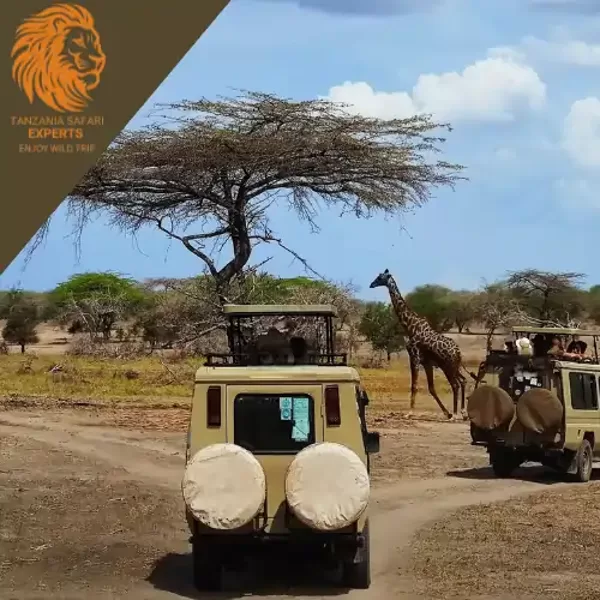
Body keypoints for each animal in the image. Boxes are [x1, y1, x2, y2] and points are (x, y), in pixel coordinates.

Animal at [370, 270, 468, 420]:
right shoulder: (427, 363)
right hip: (454, 366)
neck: (410, 327)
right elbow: (431, 387)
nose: (371, 284)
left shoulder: (414, 357)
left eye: (380, 277)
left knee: (456, 384)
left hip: (448, 366)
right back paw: (462, 412)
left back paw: (456, 414)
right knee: (463, 381)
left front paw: (409, 413)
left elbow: (414, 386)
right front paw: (446, 412)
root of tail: (457, 351)